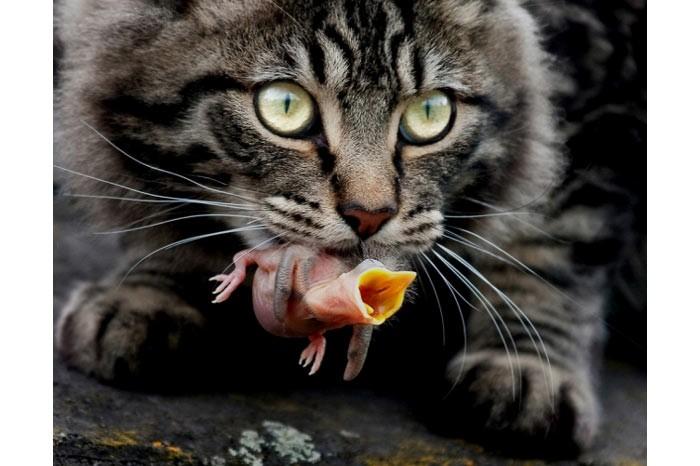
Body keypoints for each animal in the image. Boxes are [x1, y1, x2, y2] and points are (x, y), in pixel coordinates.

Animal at [54, 0, 644, 454]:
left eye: (430, 113)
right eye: (284, 106)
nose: (369, 215)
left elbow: (550, 243)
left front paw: (525, 368)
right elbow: (169, 205)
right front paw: (152, 294)